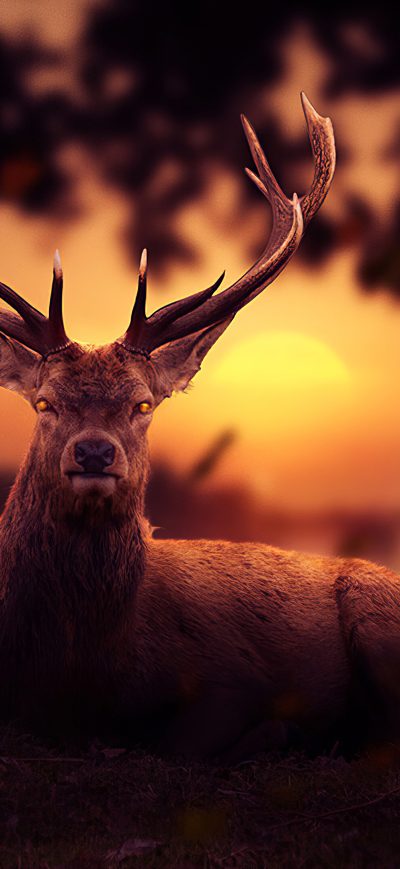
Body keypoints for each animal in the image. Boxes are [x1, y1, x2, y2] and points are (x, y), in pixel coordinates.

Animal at [0, 92, 398, 762]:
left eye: (143, 405)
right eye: (45, 403)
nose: (94, 454)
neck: (82, 670)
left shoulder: (231, 676)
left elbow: (184, 741)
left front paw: (280, 732)